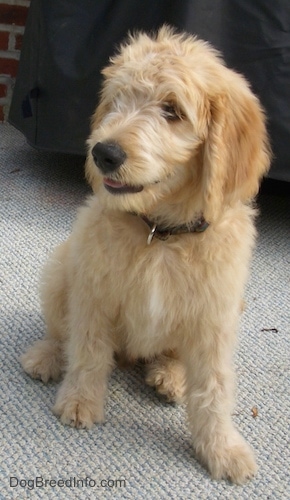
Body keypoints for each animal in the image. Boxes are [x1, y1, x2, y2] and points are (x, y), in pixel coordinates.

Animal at [21, 25, 270, 482]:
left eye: (172, 110)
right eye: (118, 100)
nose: (104, 153)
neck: (161, 233)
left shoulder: (215, 319)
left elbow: (214, 387)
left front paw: (222, 448)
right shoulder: (95, 292)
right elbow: (87, 350)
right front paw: (80, 400)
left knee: (170, 356)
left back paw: (170, 376)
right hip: (61, 269)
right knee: (62, 333)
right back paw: (46, 356)